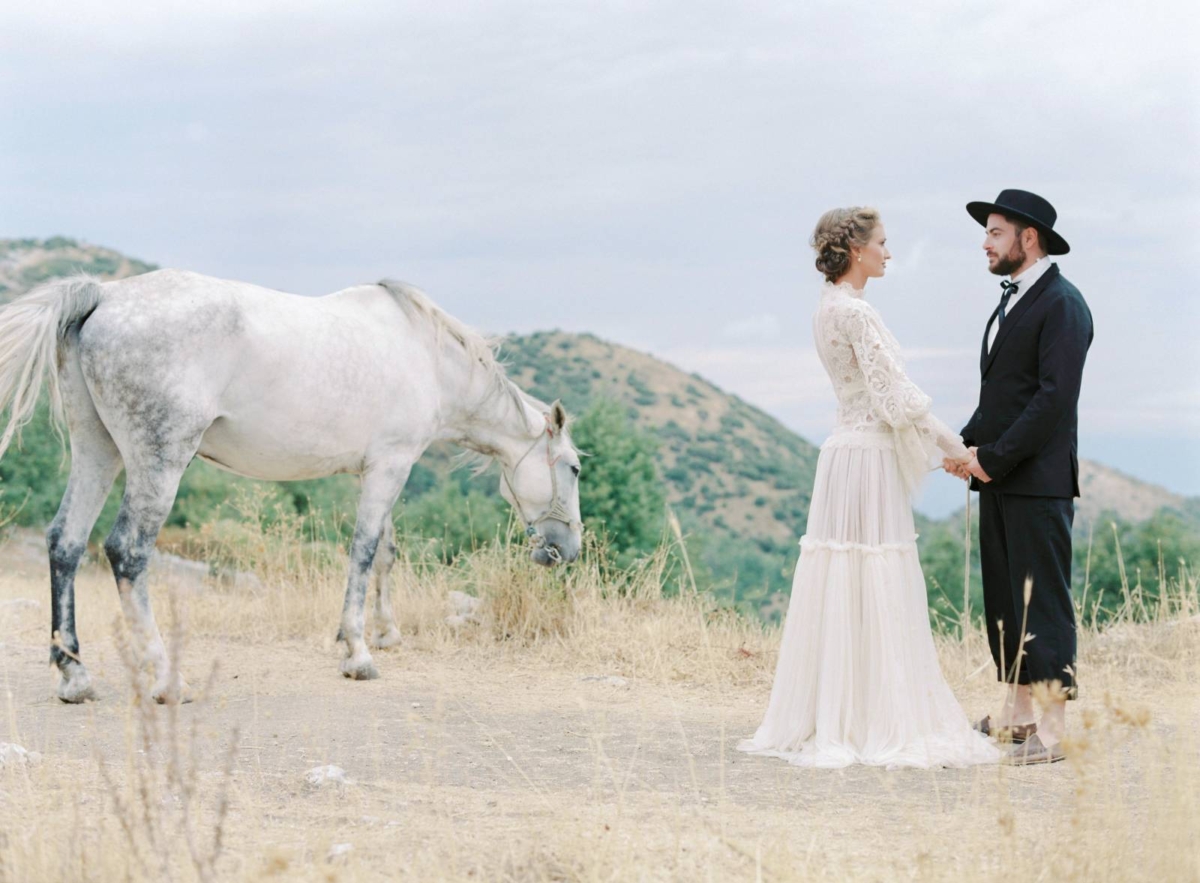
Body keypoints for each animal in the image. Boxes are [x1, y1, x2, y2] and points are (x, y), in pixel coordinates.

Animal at [0, 268, 580, 705]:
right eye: (574, 468)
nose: (568, 549)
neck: (429, 360)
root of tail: (104, 295)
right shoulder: (391, 468)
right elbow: (364, 552)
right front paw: (358, 654)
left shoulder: (376, 470)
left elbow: (384, 554)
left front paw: (384, 633)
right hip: (157, 463)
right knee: (127, 552)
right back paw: (167, 679)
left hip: (99, 452)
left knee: (66, 543)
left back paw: (74, 675)